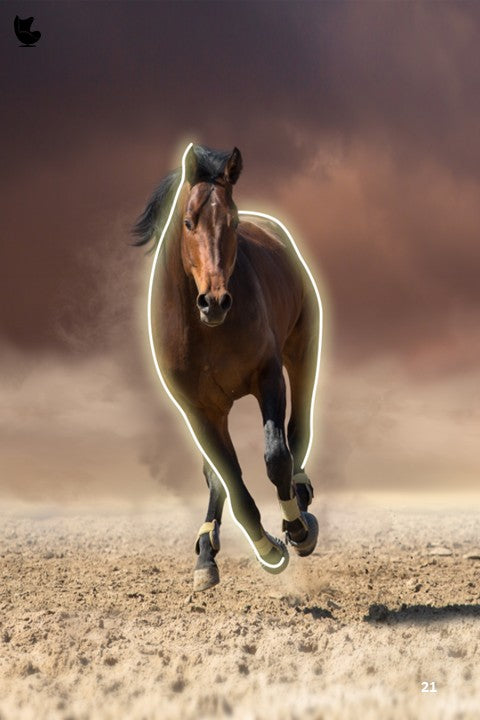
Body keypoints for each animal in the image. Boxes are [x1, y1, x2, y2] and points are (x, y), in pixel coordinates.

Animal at [133, 144, 321, 592]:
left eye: (232, 223)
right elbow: (228, 476)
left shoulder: (268, 376)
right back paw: (206, 550)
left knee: (298, 430)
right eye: (188, 222)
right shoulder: (199, 410)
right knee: (217, 474)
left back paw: (302, 498)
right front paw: (264, 548)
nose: (215, 301)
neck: (207, 332)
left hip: (302, 350)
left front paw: (296, 529)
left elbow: (276, 456)